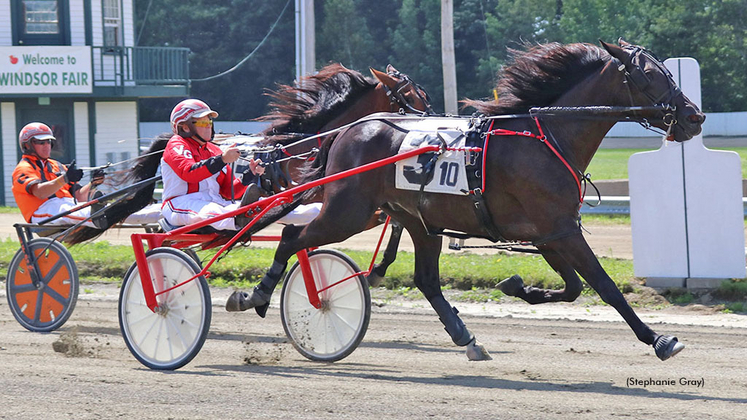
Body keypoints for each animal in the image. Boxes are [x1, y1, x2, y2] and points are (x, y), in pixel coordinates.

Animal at [229, 39, 708, 360]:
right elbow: (605, 286)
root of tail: (349, 130)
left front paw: (518, 286)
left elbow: (573, 288)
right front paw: (659, 339)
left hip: (416, 219)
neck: (547, 136)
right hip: (348, 211)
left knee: (424, 279)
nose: (694, 116)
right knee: (292, 237)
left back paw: (466, 337)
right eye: (650, 76)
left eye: (668, 73)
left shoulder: (550, 232)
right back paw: (256, 296)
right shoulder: (561, 230)